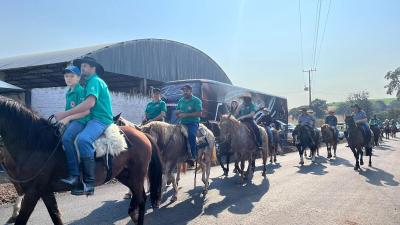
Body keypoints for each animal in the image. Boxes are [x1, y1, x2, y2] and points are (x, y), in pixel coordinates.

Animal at [0, 97, 163, 225]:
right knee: (139, 196)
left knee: (141, 199)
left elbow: (23, 220)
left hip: (136, 175)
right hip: (125, 175)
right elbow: (56, 216)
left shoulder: (33, 192)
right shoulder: (44, 191)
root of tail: (142, 134)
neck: (36, 144)